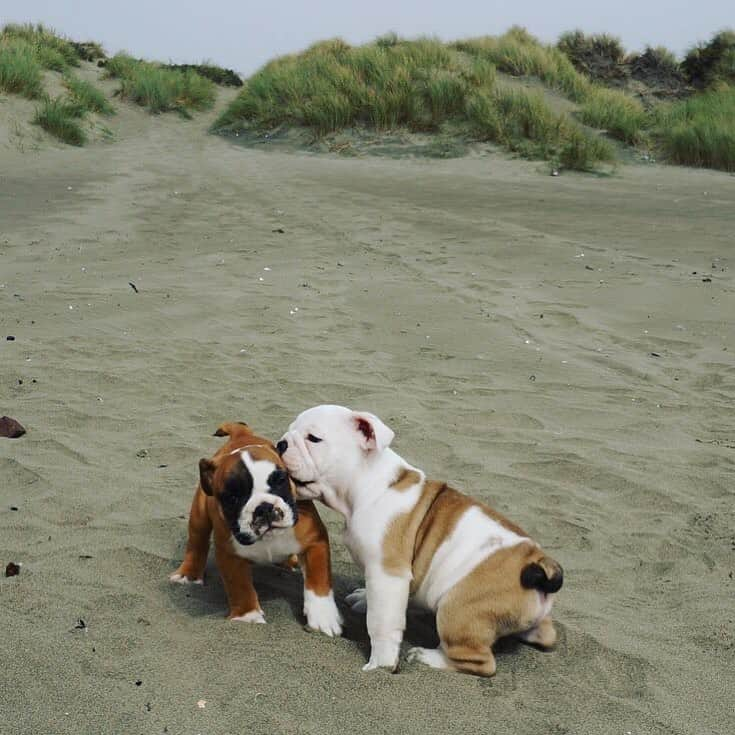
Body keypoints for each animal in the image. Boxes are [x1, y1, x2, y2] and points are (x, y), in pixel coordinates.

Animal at [171, 420, 344, 640]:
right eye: (232, 497)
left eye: (280, 481)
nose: (264, 508)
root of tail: (241, 434)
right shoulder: (229, 555)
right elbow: (239, 586)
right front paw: (248, 617)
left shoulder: (314, 542)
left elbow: (318, 580)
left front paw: (323, 618)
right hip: (199, 515)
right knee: (197, 542)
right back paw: (189, 574)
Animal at [278, 406, 568, 676]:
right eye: (289, 431)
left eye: (314, 438)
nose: (281, 442)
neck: (369, 486)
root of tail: (538, 565)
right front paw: (363, 598)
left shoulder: (388, 573)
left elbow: (381, 623)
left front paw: (381, 663)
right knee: (544, 634)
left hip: (457, 610)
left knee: (481, 662)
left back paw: (427, 657)